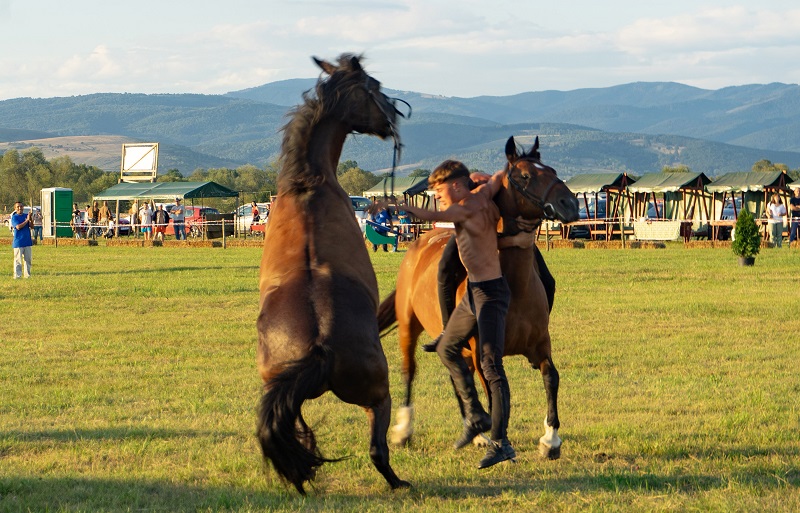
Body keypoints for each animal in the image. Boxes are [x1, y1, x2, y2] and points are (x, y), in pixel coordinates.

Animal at [256, 54, 410, 494]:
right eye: (375, 88)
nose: (394, 118)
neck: (310, 185)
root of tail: (322, 343)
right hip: (378, 394)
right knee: (377, 448)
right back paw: (399, 482)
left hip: (281, 389)